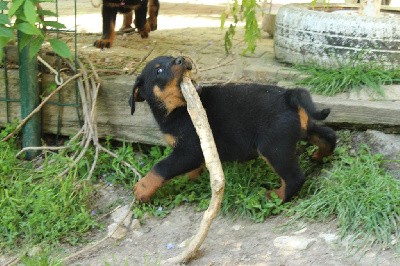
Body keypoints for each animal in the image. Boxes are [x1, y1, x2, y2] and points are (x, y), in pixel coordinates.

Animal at [130, 55, 336, 202]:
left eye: (172, 58)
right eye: (159, 70)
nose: (181, 59)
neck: (176, 110)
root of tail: (289, 96)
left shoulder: (189, 150)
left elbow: (161, 167)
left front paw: (142, 189)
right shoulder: (193, 152)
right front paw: (191, 178)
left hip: (274, 147)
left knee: (294, 178)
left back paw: (274, 197)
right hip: (300, 130)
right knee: (329, 135)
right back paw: (320, 156)